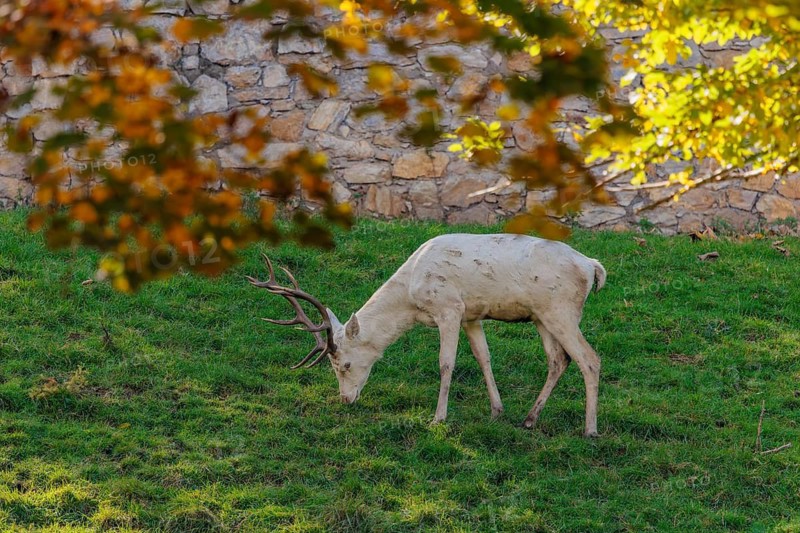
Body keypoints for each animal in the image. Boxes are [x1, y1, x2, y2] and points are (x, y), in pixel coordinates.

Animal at [247, 233, 606, 437]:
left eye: (343, 365)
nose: (345, 399)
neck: (411, 294)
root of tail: (593, 267)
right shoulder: (471, 314)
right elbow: (483, 357)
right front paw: (497, 411)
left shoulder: (448, 308)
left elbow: (446, 363)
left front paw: (438, 419)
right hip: (541, 316)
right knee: (558, 360)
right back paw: (530, 420)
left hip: (561, 310)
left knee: (589, 359)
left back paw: (590, 429)